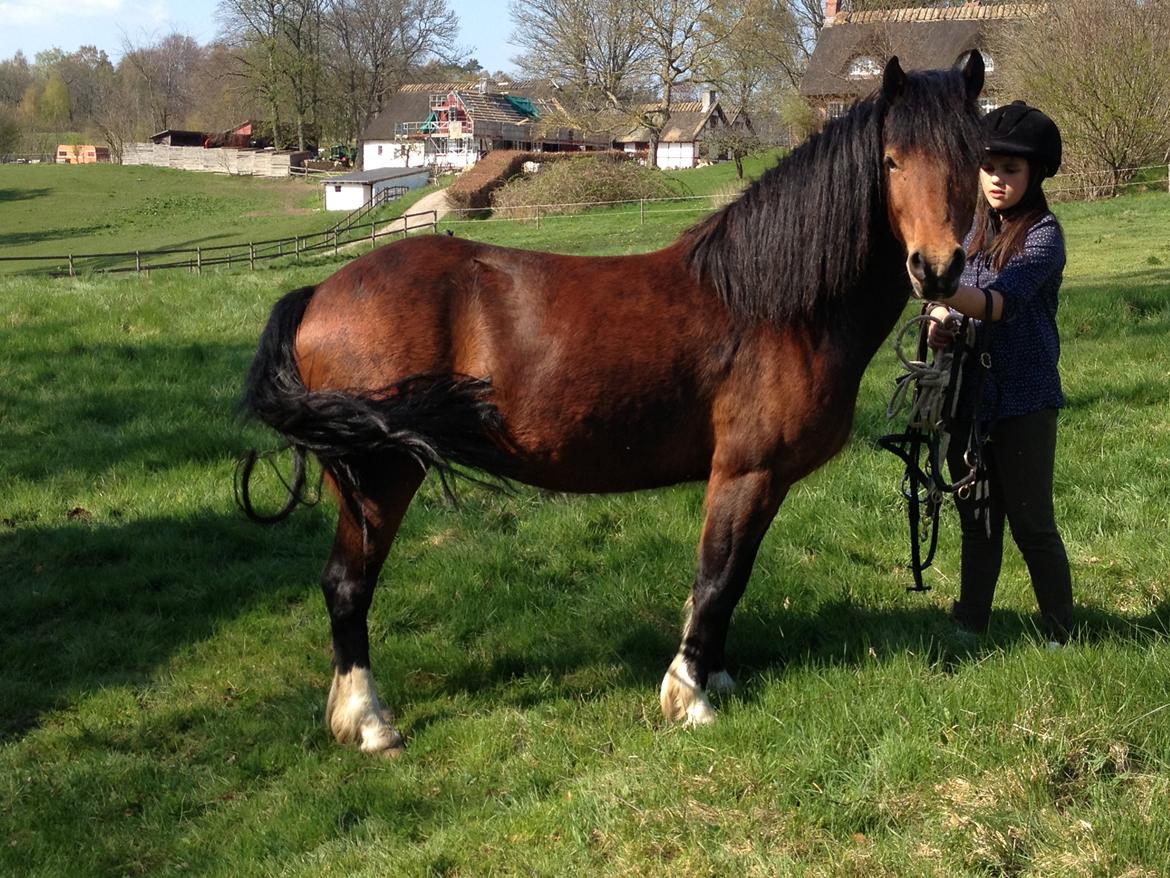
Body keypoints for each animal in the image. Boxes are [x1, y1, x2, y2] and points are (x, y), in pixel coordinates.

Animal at [244, 55, 987, 758]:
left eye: (971, 158)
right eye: (892, 161)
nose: (937, 269)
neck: (772, 304)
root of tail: (320, 293)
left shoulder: (765, 482)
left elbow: (734, 576)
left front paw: (714, 675)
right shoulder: (745, 473)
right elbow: (716, 578)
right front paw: (690, 697)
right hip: (380, 477)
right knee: (346, 585)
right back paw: (370, 723)